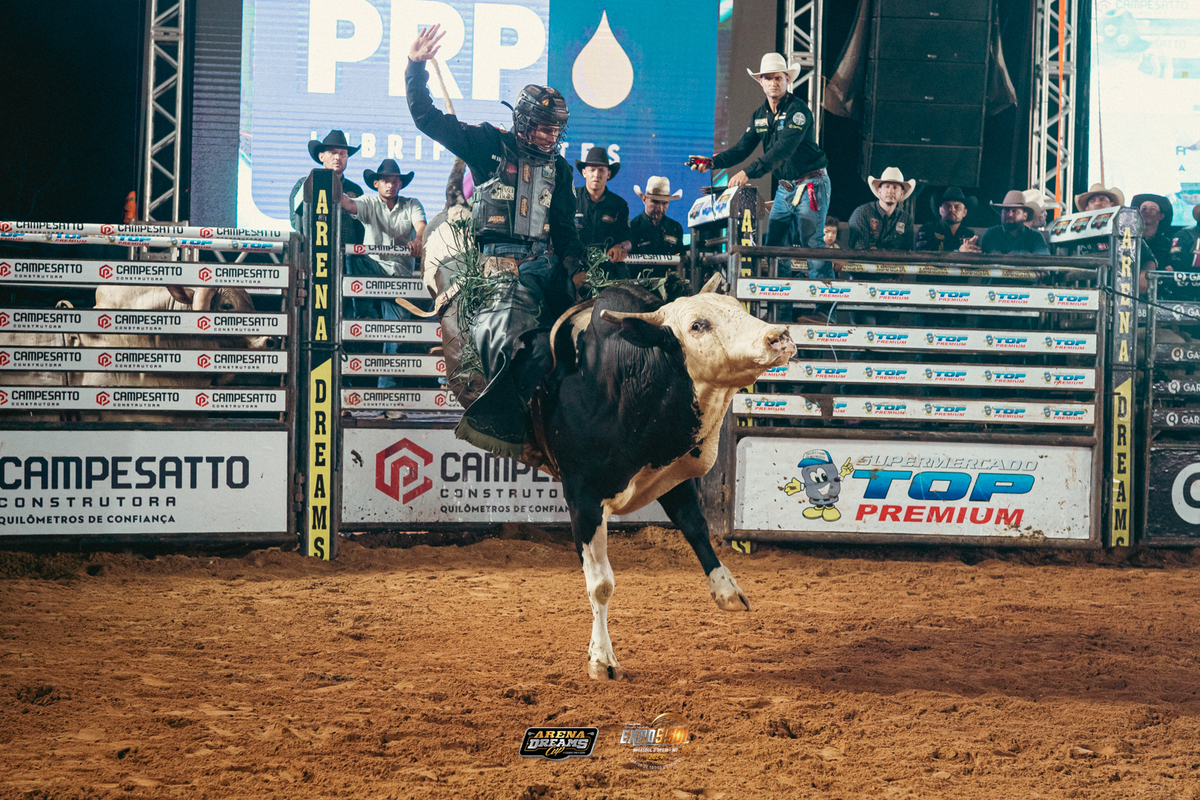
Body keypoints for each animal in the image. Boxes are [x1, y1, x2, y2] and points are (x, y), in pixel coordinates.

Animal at [539, 275, 796, 679]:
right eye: (697, 325)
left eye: (736, 308)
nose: (779, 335)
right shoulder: (583, 497)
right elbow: (600, 584)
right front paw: (602, 659)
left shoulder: (668, 476)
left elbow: (695, 526)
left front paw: (727, 590)